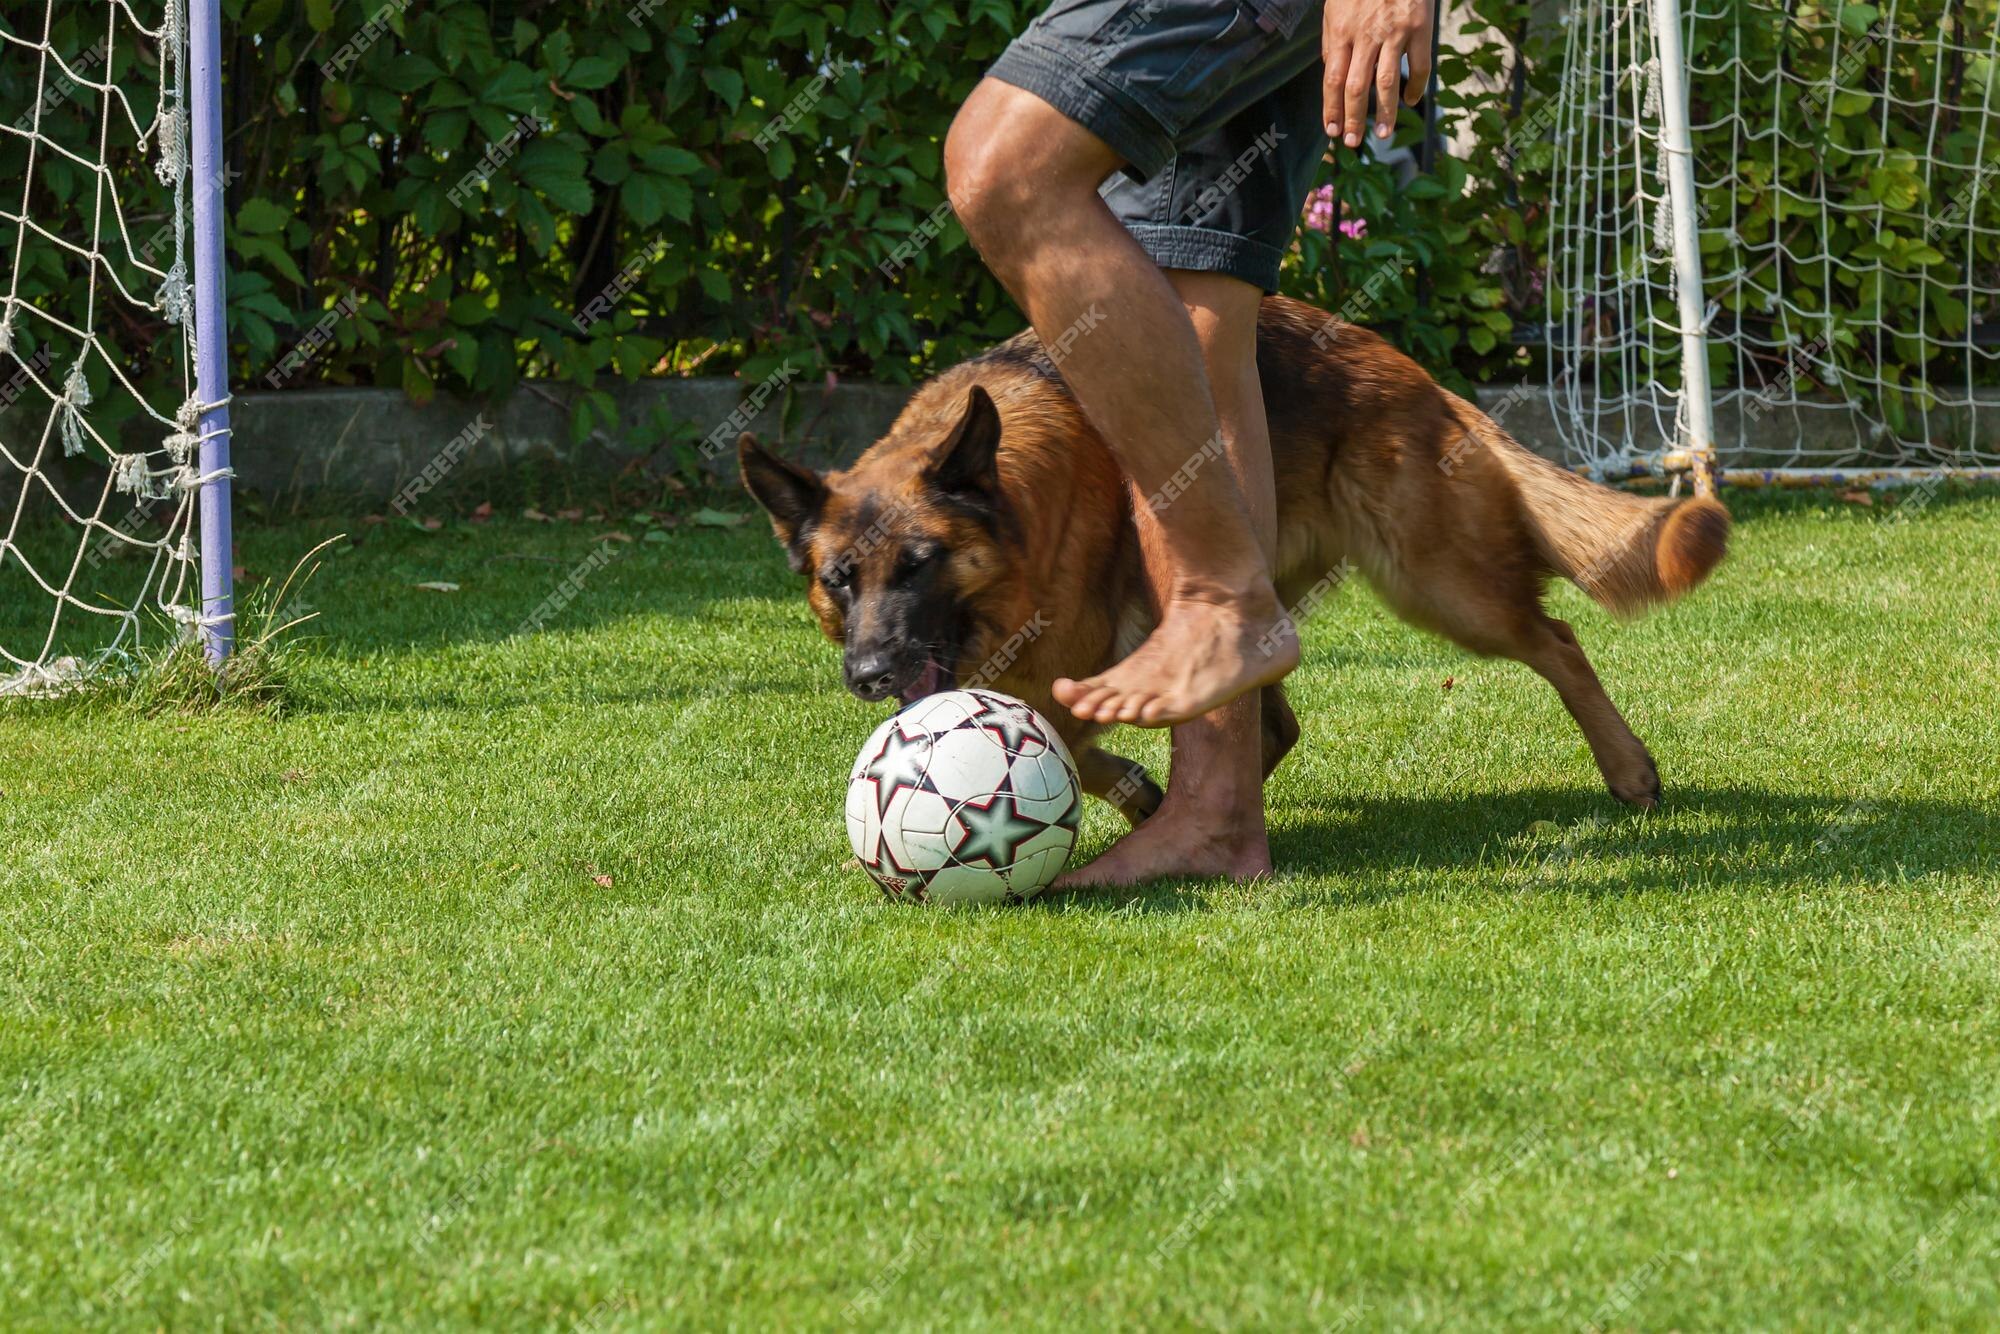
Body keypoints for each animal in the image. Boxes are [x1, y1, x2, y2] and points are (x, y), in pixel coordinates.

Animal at [744, 298, 1728, 828]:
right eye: (838, 582)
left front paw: (1125, 792)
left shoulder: (1066, 667)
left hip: (1442, 585)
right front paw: (1139, 795)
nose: (869, 675)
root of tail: (1417, 376)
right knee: (1276, 723)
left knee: (1556, 639)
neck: (1017, 514)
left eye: (920, 564)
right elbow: (1065, 745)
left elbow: (1062, 742)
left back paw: (1630, 771)